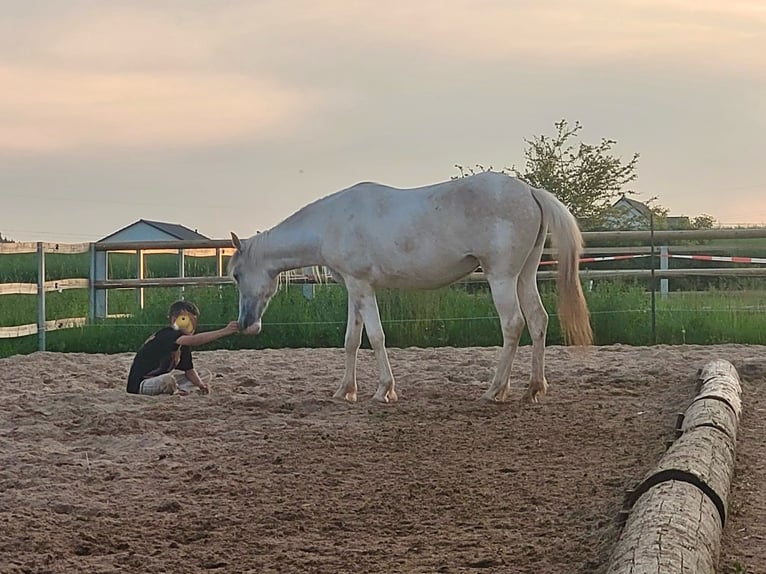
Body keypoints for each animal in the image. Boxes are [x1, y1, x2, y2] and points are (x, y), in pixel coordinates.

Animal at [230, 171, 592, 404]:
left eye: (235, 274)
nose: (247, 324)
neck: (330, 224)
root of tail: (531, 192)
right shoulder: (354, 289)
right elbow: (351, 340)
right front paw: (345, 390)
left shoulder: (363, 286)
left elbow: (375, 337)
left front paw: (384, 390)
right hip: (524, 275)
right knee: (538, 320)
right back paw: (533, 388)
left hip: (501, 277)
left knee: (514, 324)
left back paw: (494, 390)